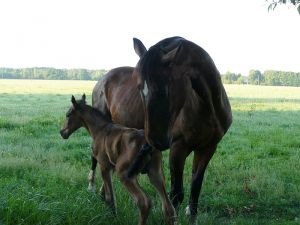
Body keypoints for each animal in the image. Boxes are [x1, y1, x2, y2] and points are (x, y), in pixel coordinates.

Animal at [59, 94, 176, 225]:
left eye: (68, 115)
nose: (62, 132)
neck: (100, 129)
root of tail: (147, 144)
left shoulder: (104, 166)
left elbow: (109, 196)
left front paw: (113, 217)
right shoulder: (112, 167)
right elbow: (107, 193)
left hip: (125, 174)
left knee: (144, 202)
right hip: (155, 173)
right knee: (168, 207)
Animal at [131, 37, 232, 221]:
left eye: (163, 89)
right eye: (139, 88)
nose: (155, 140)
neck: (206, 107)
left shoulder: (208, 148)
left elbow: (196, 186)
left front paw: (192, 216)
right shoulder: (178, 147)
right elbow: (176, 194)